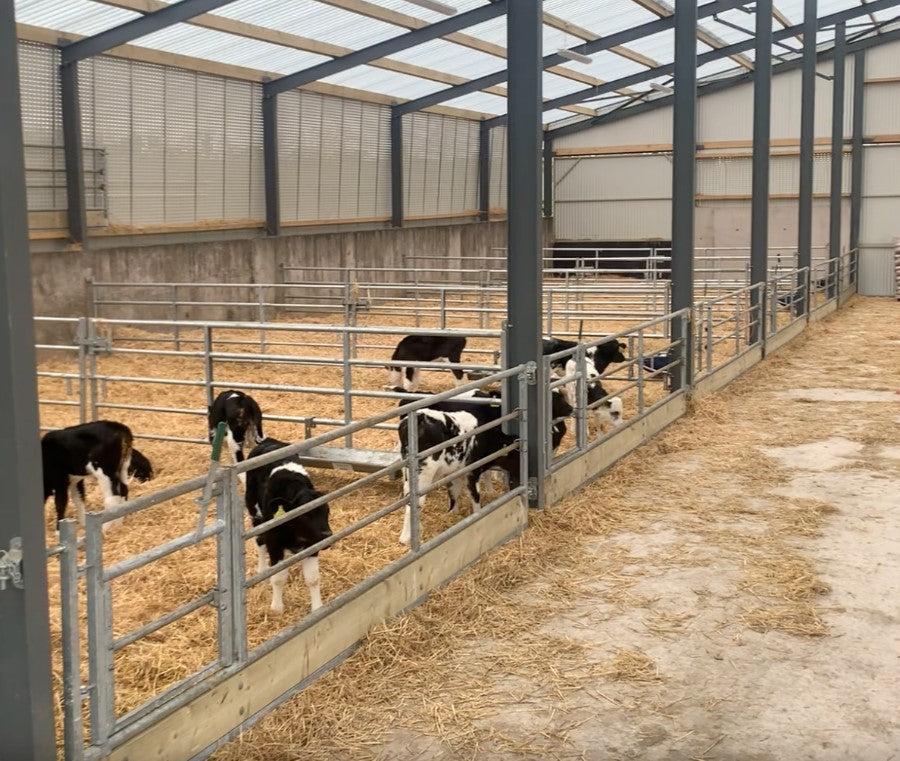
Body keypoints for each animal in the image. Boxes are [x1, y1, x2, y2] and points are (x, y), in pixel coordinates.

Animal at [244, 438, 332, 614]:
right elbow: (278, 578)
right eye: (305, 515)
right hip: (255, 512)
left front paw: (317, 608)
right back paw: (262, 571)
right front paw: (277, 608)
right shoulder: (274, 543)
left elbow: (313, 578)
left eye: (327, 511)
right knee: (259, 542)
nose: (327, 535)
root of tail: (268, 440)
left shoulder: (311, 544)